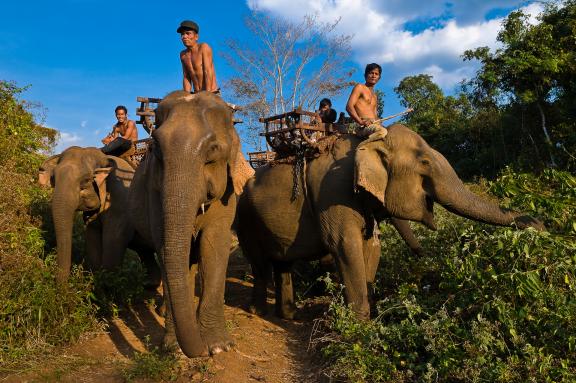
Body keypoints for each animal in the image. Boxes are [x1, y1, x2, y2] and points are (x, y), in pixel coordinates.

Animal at [38, 147, 160, 284]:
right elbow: (92, 240)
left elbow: (113, 246)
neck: (104, 158)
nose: (62, 285)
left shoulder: (121, 204)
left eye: (86, 180)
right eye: (53, 179)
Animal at [130, 91, 254, 358]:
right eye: (155, 148)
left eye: (213, 149)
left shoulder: (228, 194)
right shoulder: (154, 191)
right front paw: (173, 346)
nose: (200, 352)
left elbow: (213, 247)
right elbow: (167, 250)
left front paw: (219, 347)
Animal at [235, 123, 544, 320]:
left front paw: (369, 317)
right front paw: (357, 330)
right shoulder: (331, 193)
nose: (539, 225)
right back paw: (258, 312)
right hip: (244, 219)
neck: (366, 144)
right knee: (260, 264)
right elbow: (344, 246)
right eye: (424, 164)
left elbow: (372, 246)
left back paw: (289, 315)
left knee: (282, 264)